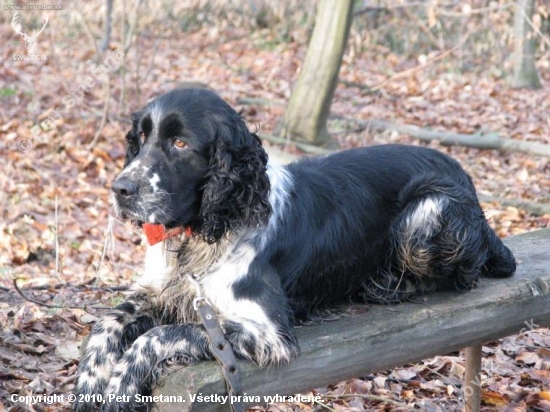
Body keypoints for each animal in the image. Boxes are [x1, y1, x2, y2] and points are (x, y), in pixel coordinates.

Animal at [74, 87, 516, 408]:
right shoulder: (162, 291)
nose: (120, 189)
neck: (200, 235)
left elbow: (159, 335)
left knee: (462, 277)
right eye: (140, 138)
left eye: (180, 143)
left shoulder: (269, 334)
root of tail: (466, 178)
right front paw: (90, 384)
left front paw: (120, 387)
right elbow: (106, 324)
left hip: (426, 212)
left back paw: (389, 285)